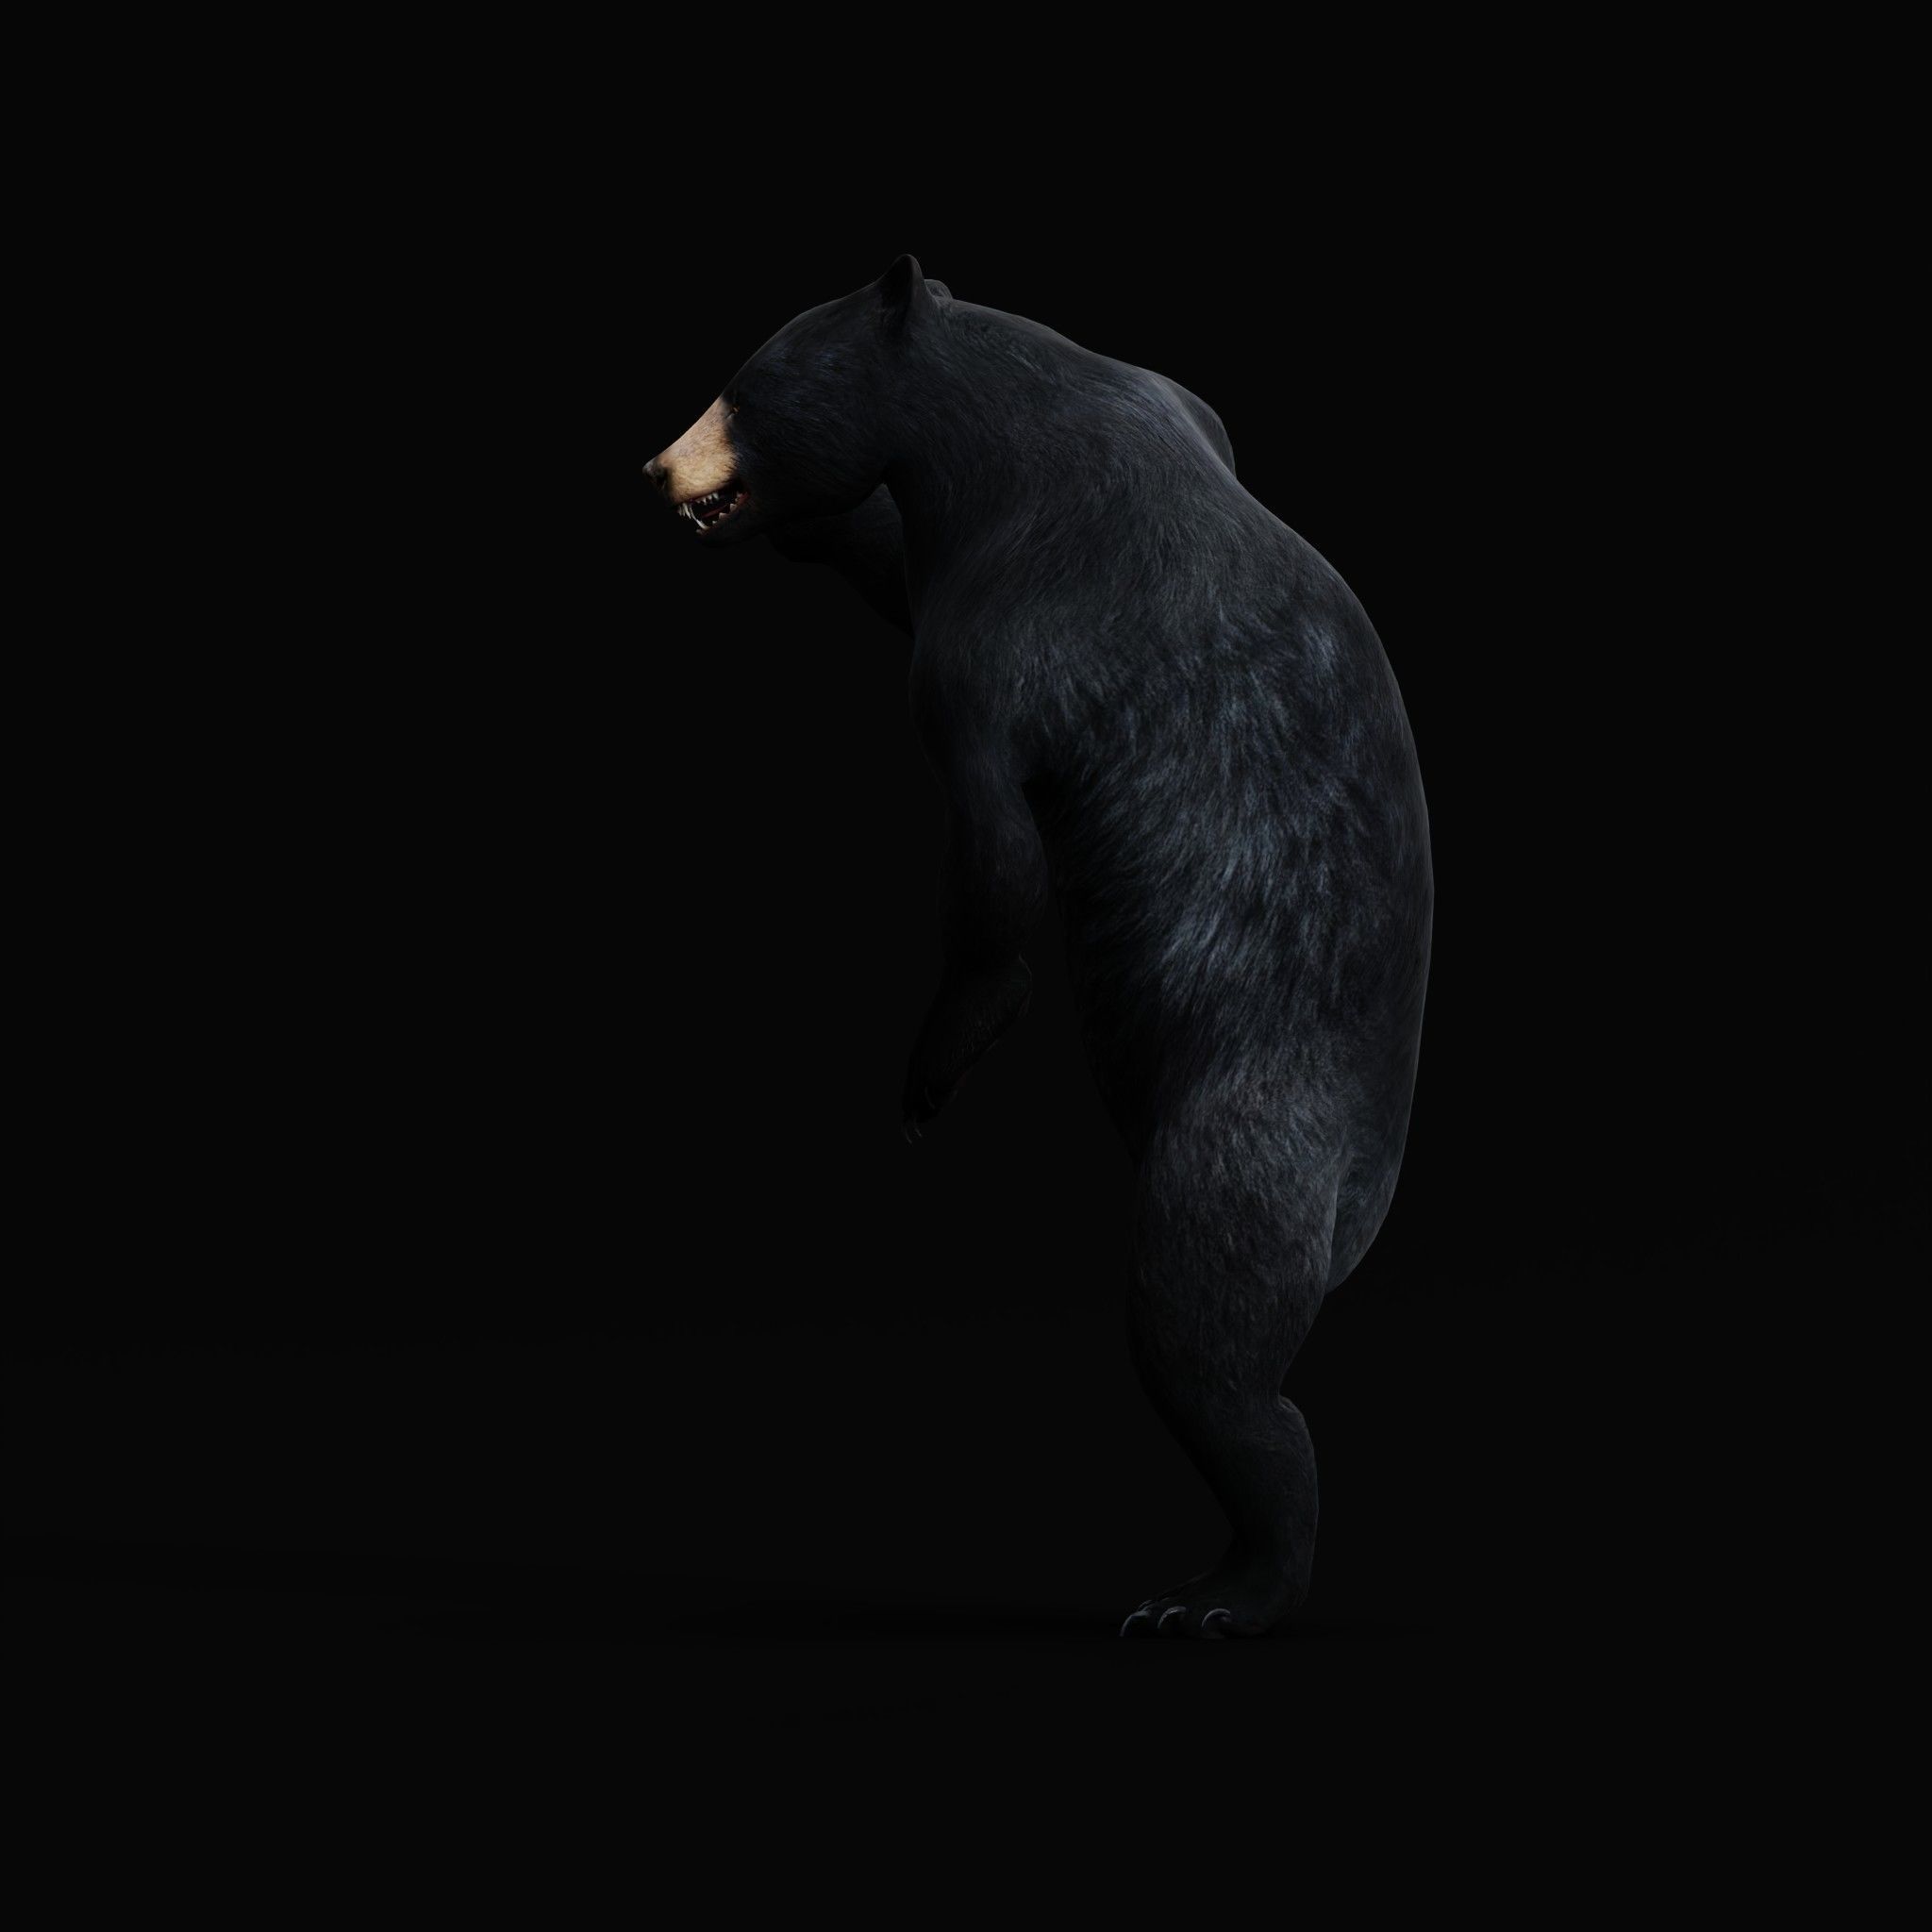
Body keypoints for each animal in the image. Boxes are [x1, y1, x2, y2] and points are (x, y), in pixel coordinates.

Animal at [646, 257, 1432, 1637]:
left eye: (741, 389)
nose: (655, 467)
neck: (1019, 418)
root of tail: (1360, 1208)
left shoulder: (1019, 631)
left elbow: (996, 867)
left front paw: (923, 1083)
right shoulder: (1177, 407)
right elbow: (892, 561)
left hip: (1249, 1124)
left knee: (1204, 1339)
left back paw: (1216, 1589)